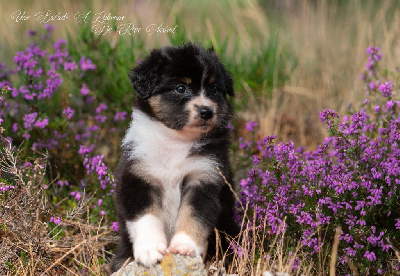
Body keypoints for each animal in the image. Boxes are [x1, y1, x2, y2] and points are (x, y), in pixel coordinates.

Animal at [111, 43, 239, 272]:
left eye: (214, 89)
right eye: (181, 88)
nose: (206, 111)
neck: (177, 142)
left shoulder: (204, 179)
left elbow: (194, 215)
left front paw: (185, 247)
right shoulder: (138, 177)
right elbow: (146, 216)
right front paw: (150, 251)